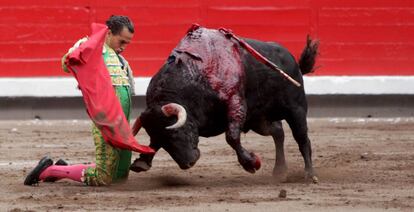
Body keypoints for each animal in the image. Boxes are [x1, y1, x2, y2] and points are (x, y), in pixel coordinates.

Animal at [131, 26, 318, 182]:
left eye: (175, 132)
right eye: (160, 140)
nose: (188, 163)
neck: (196, 73)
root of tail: (293, 60)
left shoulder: (235, 102)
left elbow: (232, 136)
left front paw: (251, 163)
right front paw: (142, 162)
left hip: (296, 109)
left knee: (302, 139)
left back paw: (310, 175)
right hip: (259, 120)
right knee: (278, 132)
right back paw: (279, 171)